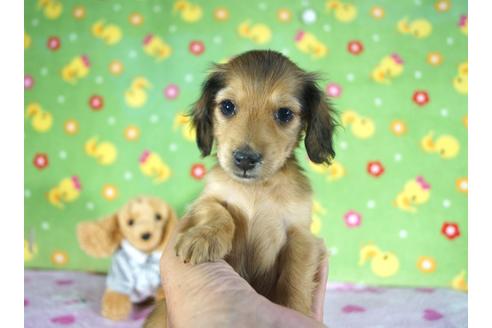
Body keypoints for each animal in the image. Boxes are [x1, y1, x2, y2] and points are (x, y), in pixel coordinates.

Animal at [146, 50, 336, 326]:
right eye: (227, 107)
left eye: (285, 114)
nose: (245, 159)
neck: (255, 189)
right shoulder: (207, 199)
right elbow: (219, 212)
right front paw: (204, 237)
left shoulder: (301, 234)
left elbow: (296, 278)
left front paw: (296, 311)